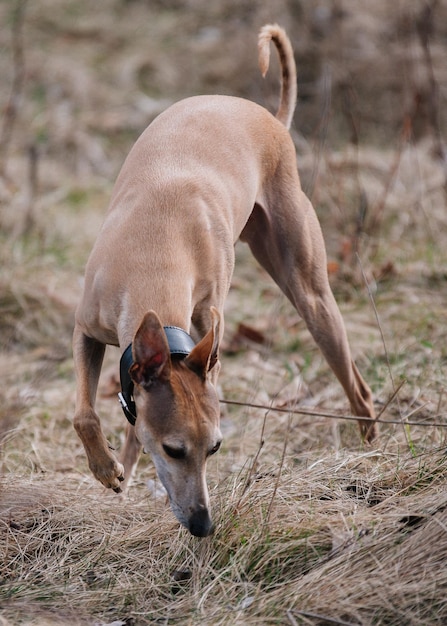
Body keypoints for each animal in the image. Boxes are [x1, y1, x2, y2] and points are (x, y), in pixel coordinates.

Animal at [74, 24, 378, 536]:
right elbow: (85, 414)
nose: (203, 524)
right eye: (174, 450)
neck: (154, 257)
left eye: (214, 448)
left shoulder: (205, 323)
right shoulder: (88, 329)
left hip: (311, 295)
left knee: (358, 386)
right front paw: (108, 469)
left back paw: (374, 456)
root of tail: (269, 116)